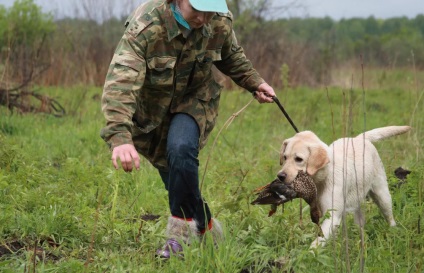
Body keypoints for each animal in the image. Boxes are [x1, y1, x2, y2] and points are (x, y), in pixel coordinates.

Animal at [278, 125, 410, 246]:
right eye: (285, 157)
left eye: (299, 159)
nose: (280, 176)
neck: (324, 176)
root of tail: (359, 138)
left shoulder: (333, 216)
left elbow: (318, 241)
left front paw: (310, 253)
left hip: (382, 196)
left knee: (389, 217)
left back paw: (393, 232)